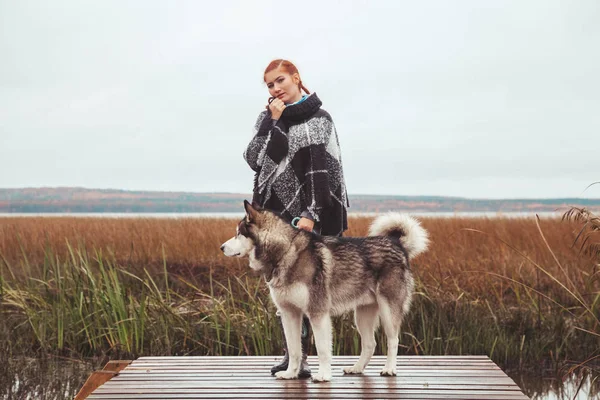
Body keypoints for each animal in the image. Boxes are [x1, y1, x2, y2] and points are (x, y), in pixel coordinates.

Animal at [219, 202, 426, 382]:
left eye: (238, 234)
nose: (221, 247)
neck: (285, 252)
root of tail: (396, 243)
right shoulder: (289, 314)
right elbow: (294, 350)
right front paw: (291, 374)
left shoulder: (317, 313)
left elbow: (322, 348)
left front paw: (323, 375)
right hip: (362, 315)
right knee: (370, 344)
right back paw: (356, 368)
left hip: (388, 311)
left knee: (393, 340)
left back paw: (389, 368)